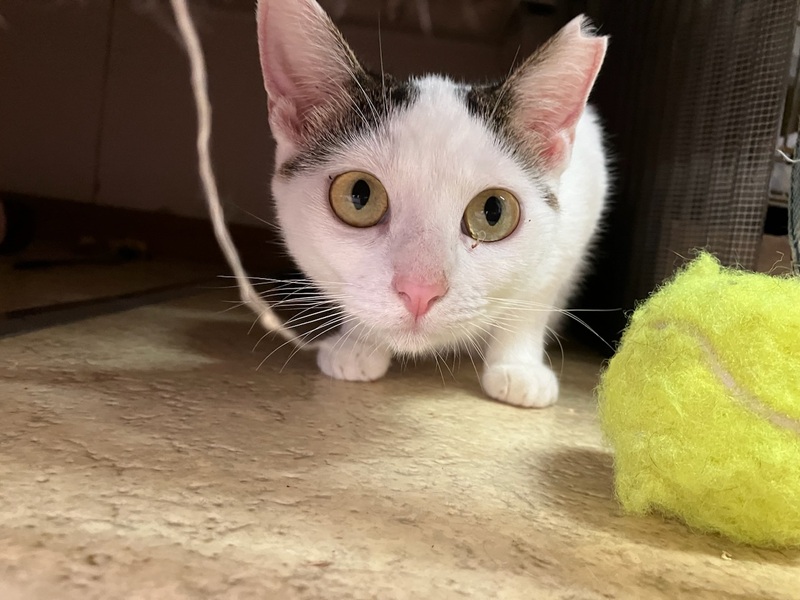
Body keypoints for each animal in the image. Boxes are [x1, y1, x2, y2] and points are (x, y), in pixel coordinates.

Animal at [255, 0, 609, 408]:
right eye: (360, 195)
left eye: (493, 212)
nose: (420, 291)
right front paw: (360, 342)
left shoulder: (587, 193)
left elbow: (535, 296)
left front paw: (519, 367)